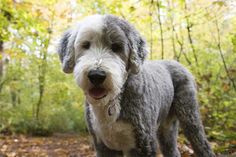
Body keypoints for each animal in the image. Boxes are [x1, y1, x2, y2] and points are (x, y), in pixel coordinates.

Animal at [57, 14, 216, 157]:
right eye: (85, 45)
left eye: (116, 47)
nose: (96, 75)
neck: (113, 101)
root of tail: (176, 63)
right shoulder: (103, 146)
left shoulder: (143, 144)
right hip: (167, 127)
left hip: (190, 116)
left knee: (203, 145)